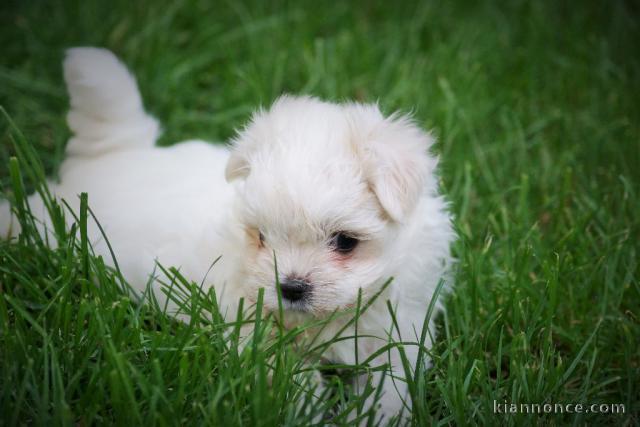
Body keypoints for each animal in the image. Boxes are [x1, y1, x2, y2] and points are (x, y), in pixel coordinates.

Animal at [0, 47, 456, 422]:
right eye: (262, 237)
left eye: (345, 242)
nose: (291, 288)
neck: (328, 319)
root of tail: (114, 155)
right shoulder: (254, 329)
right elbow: (291, 378)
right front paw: (307, 413)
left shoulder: (398, 330)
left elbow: (390, 385)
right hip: (52, 224)